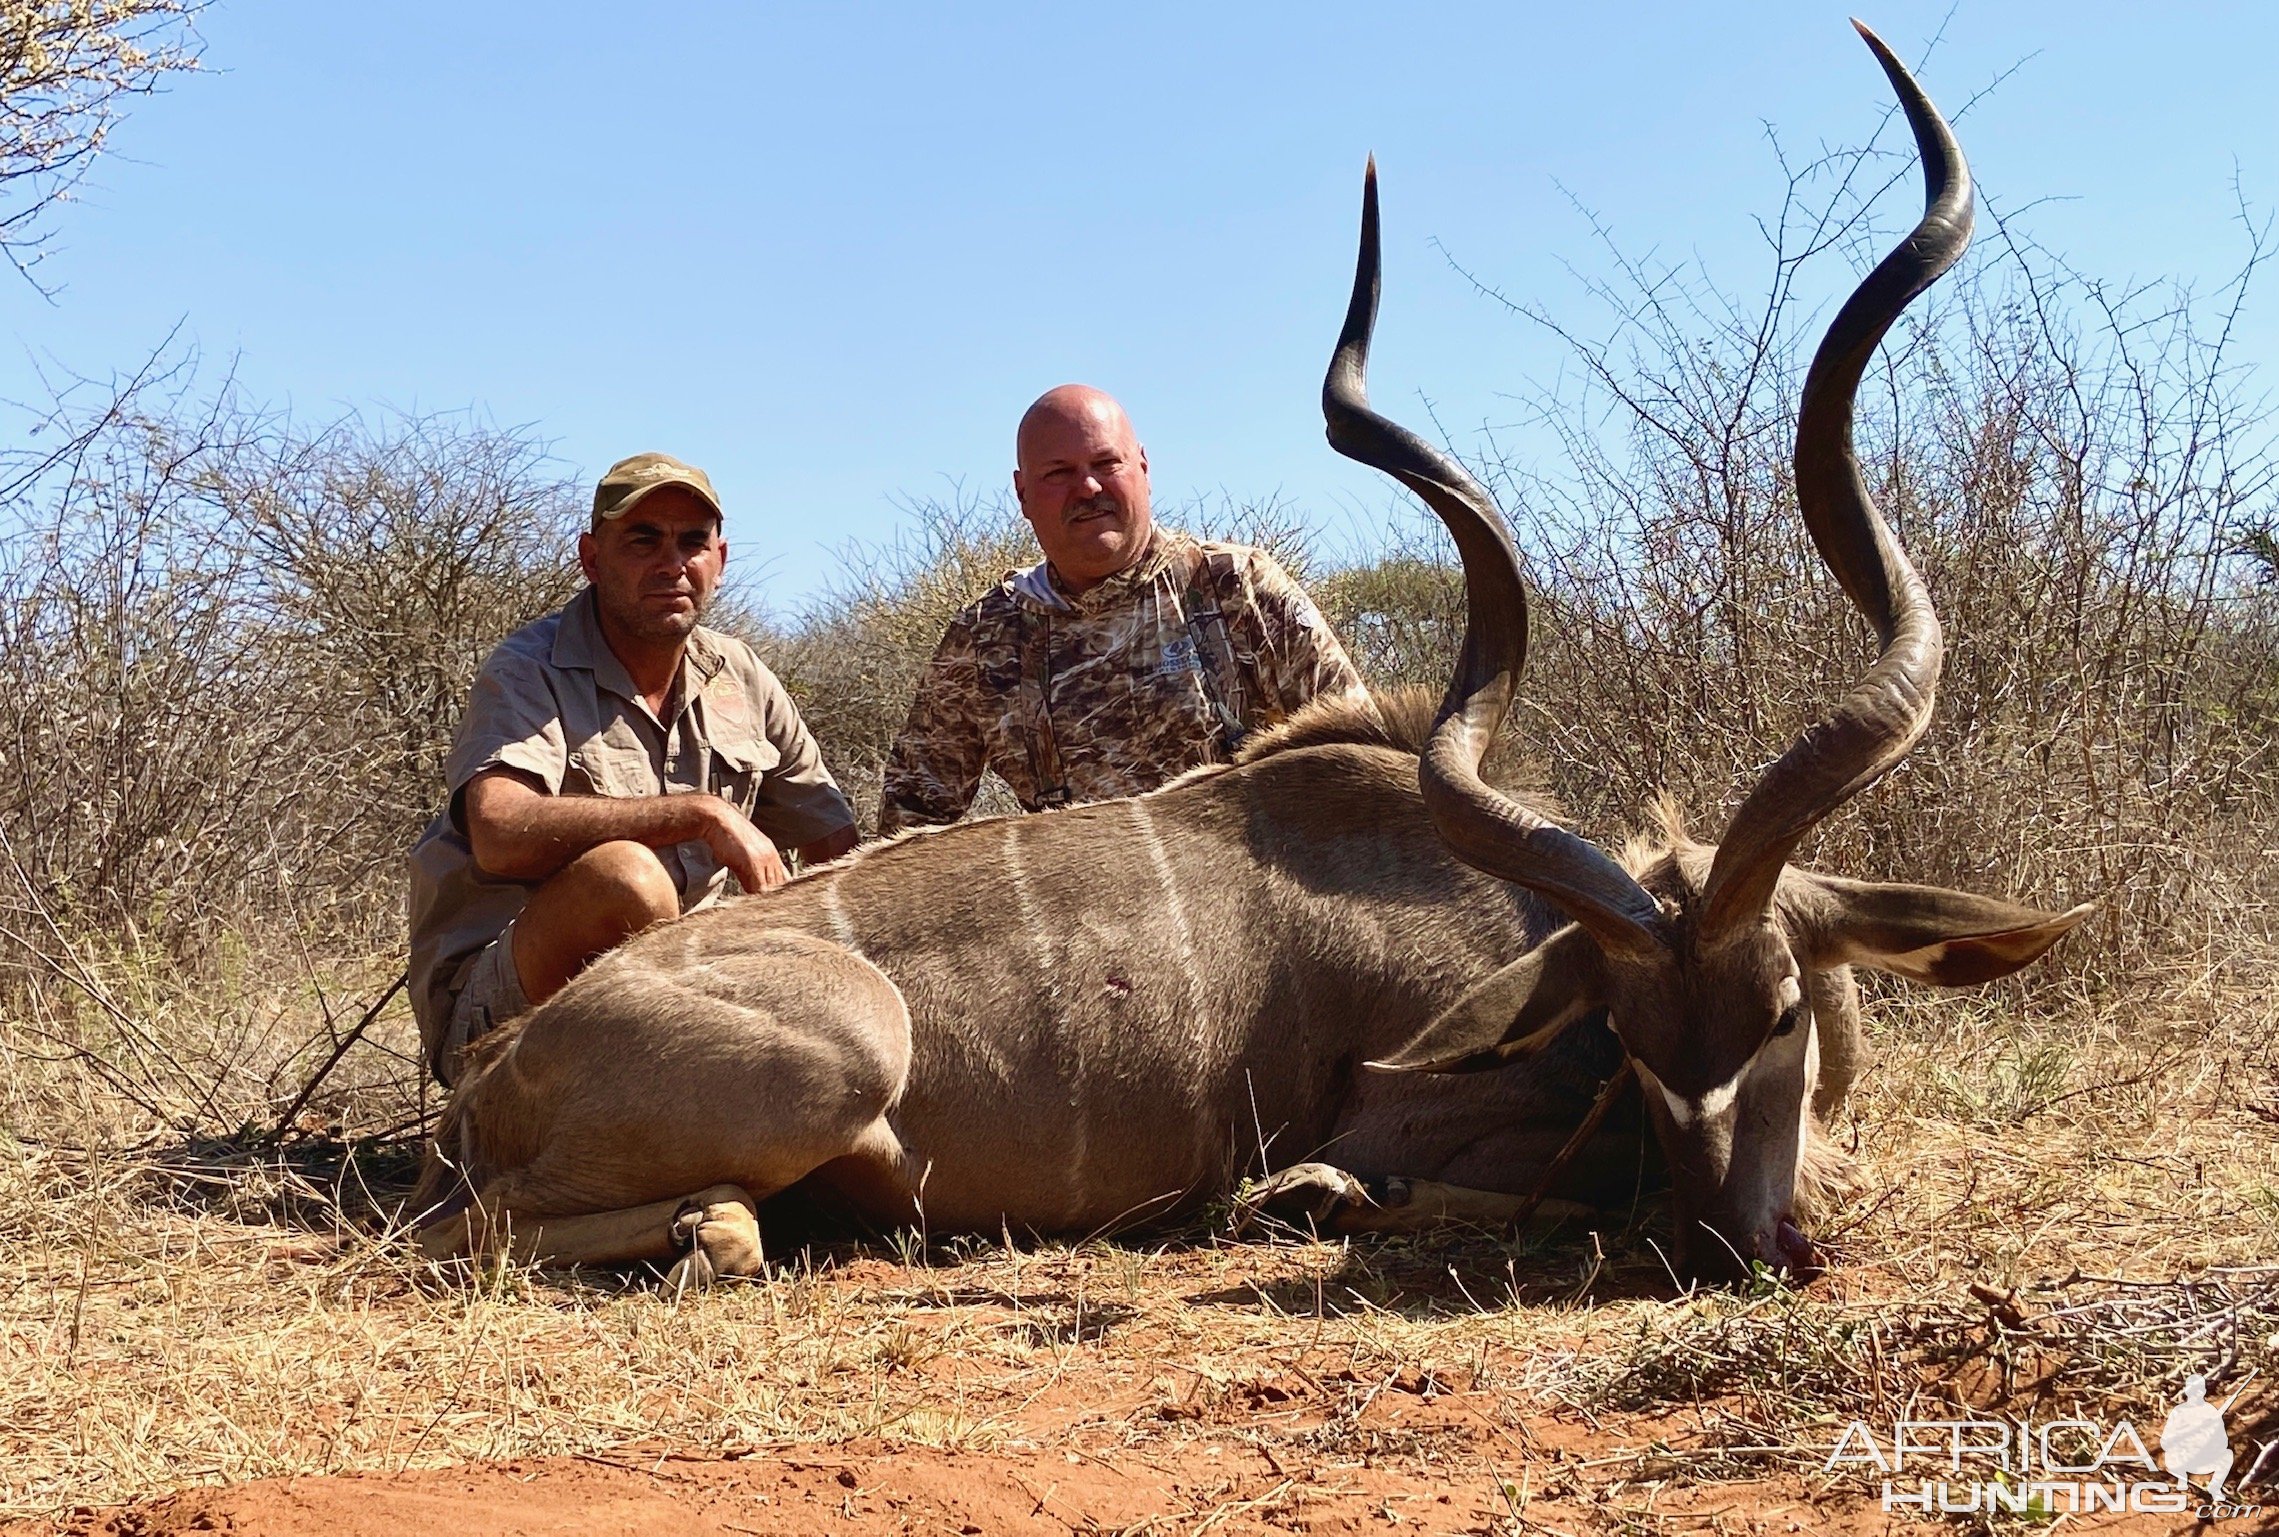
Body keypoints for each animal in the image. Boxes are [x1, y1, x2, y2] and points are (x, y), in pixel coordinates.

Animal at [405, 29, 2087, 1286]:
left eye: (1783, 1007)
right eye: (1623, 1031)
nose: (1736, 1245)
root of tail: (506, 1064)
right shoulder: (1427, 1129)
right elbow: (1384, 1183)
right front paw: (1304, 1200)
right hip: (839, 1055)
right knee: (496, 1231)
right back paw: (717, 1223)